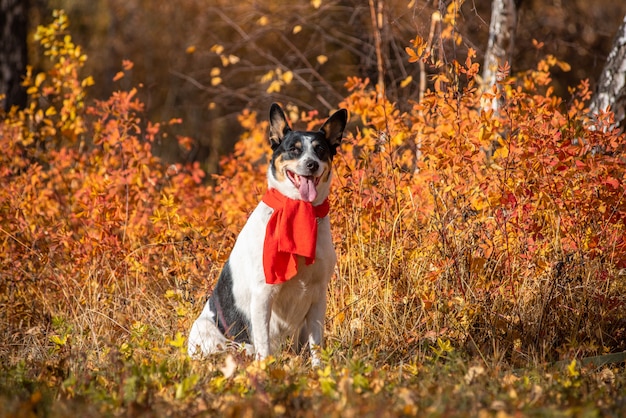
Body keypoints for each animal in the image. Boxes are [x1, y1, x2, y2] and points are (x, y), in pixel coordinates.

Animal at [188, 103, 348, 366]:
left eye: (321, 150)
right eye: (293, 150)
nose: (311, 164)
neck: (298, 210)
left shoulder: (318, 296)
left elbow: (316, 345)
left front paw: (319, 370)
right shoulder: (263, 296)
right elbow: (263, 344)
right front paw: (266, 370)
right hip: (208, 333)